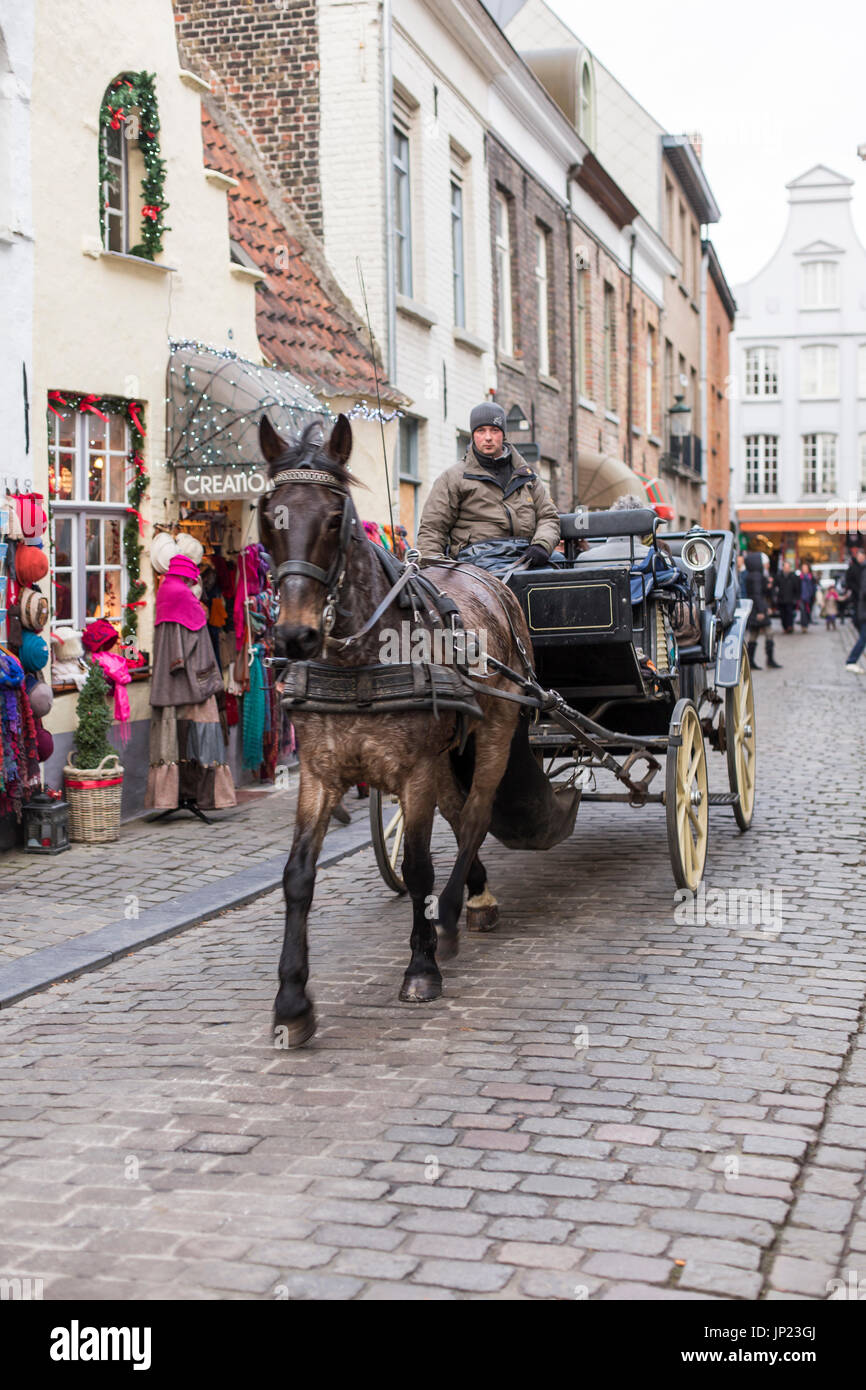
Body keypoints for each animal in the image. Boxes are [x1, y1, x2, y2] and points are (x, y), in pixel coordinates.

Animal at [254, 411, 530, 1045]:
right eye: (267, 514)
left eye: (336, 518)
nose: (295, 636)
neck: (356, 658)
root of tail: (492, 580)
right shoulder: (319, 774)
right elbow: (297, 876)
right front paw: (291, 1002)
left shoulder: (416, 770)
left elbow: (418, 866)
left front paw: (421, 967)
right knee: (459, 812)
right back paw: (476, 892)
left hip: (497, 729)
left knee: (475, 814)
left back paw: (453, 912)